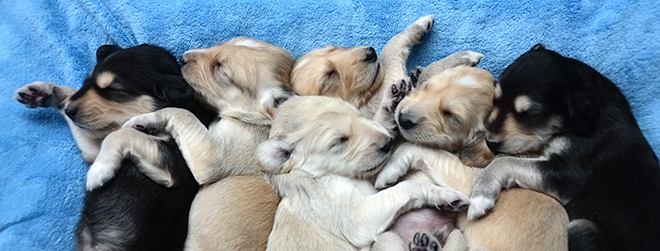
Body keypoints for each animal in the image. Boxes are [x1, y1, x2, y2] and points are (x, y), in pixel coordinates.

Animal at [13, 45, 214, 251]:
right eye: (87, 82)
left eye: (114, 89)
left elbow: (119, 134)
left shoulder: (174, 167)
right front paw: (45, 93)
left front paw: (99, 170)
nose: (70, 111)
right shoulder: (93, 149)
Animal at [89, 37, 296, 251]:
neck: (258, 120)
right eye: (222, 44)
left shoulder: (212, 155)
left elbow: (180, 112)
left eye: (221, 69)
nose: (182, 58)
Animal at [258, 95, 470, 250]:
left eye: (357, 114)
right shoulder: (354, 217)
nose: (388, 143)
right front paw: (444, 195)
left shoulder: (370, 173)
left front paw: (389, 103)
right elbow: (408, 186)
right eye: (339, 141)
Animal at [374, 65, 568, 251]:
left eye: (452, 116)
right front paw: (394, 97)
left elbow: (415, 146)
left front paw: (389, 170)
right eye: (427, 86)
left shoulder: (469, 179)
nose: (403, 119)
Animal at [466, 44, 660, 250]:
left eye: (529, 115)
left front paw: (481, 195)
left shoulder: (568, 175)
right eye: (495, 100)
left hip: (580, 229)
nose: (490, 142)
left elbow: (503, 162)